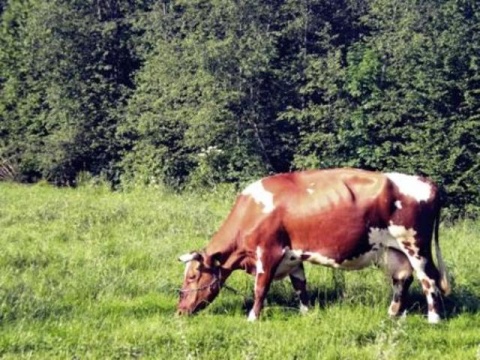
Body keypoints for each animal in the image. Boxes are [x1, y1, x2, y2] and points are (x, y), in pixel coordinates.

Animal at [177, 168, 450, 324]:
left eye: (191, 276)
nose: (179, 311)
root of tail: (426, 181)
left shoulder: (268, 252)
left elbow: (260, 288)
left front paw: (253, 318)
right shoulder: (294, 257)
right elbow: (301, 287)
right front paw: (306, 313)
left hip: (416, 247)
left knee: (429, 279)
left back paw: (434, 319)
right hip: (394, 251)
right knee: (403, 279)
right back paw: (393, 314)